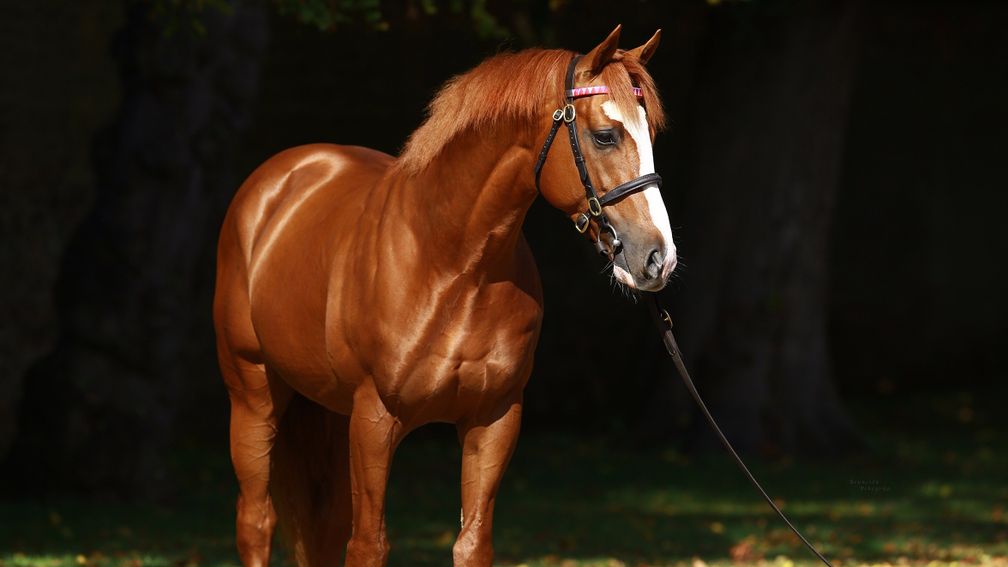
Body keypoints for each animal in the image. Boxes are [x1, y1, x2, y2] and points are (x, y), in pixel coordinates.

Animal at [213, 24, 676, 567]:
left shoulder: (494, 419)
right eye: (606, 135)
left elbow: (472, 543)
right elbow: (368, 544)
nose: (658, 258)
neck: (453, 264)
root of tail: (274, 181)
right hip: (253, 396)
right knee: (256, 521)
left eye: (651, 136)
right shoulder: (373, 421)